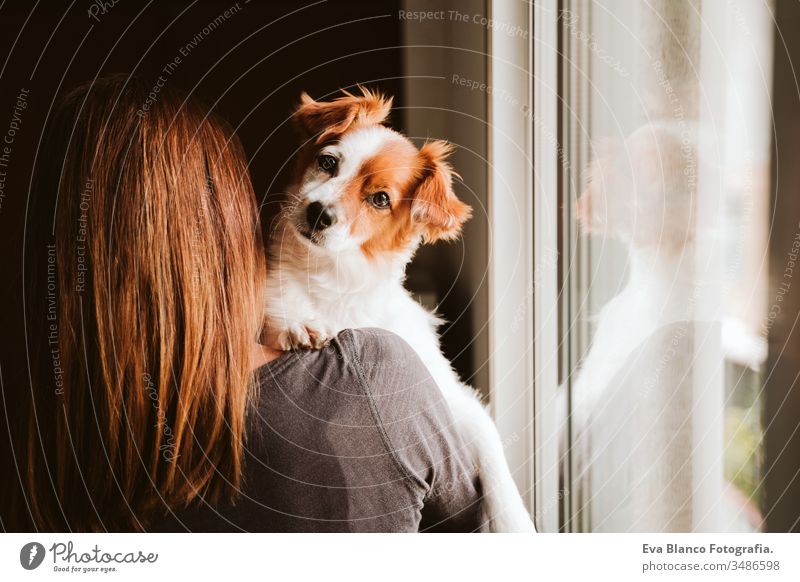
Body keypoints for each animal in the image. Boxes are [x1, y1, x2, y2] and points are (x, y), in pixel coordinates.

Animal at [266, 88, 536, 532]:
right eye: (328, 162)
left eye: (380, 199)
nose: (318, 213)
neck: (339, 281)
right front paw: (295, 325)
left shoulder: (454, 401)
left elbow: (492, 451)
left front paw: (516, 524)